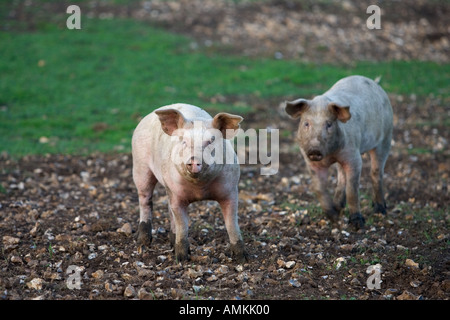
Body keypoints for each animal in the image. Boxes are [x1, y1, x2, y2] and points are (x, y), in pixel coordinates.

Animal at [132, 103, 248, 262]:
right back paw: (143, 243)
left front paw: (243, 258)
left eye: (211, 140)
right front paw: (181, 259)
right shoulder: (176, 194)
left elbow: (231, 223)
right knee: (145, 200)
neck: (200, 189)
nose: (194, 159)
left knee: (168, 209)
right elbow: (182, 225)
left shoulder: (231, 190)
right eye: (184, 141)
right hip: (140, 166)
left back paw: (171, 243)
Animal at [286, 75, 392, 228]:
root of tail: (374, 83)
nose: (314, 149)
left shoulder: (354, 156)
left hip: (386, 137)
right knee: (341, 176)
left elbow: (352, 190)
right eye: (306, 123)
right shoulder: (310, 162)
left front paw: (357, 224)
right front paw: (333, 216)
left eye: (329, 124)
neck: (330, 155)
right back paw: (338, 206)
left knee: (376, 172)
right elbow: (318, 188)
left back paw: (379, 210)